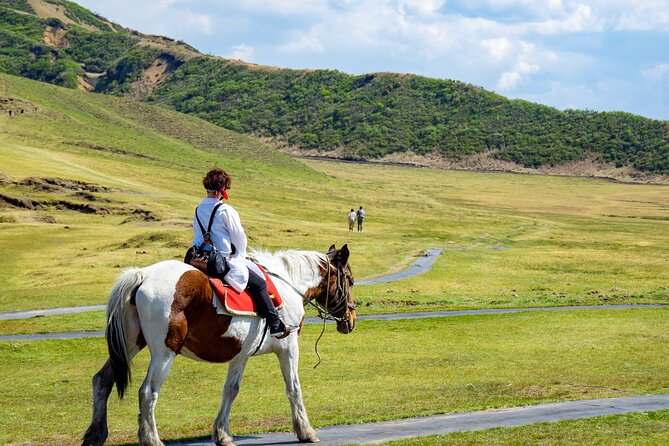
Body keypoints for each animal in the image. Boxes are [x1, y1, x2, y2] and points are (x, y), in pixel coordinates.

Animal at [83, 244, 358, 446]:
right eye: (350, 280)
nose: (351, 319)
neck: (288, 284)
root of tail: (144, 275)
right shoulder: (288, 348)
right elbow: (294, 389)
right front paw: (306, 431)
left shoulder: (241, 355)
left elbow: (230, 390)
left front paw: (223, 434)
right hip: (164, 352)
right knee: (147, 392)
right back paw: (151, 439)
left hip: (129, 345)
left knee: (102, 380)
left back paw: (95, 434)